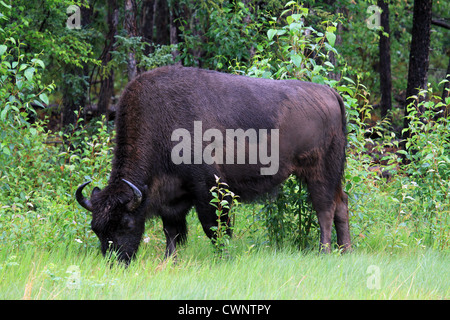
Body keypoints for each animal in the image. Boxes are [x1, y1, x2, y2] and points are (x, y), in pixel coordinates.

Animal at [76, 65, 352, 262]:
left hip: (320, 172)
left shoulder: (208, 189)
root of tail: (330, 93)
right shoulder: (171, 197)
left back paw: (324, 251)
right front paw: (169, 260)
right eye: (96, 228)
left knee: (325, 209)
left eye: (126, 223)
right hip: (331, 173)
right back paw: (345, 250)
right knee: (341, 203)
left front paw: (223, 257)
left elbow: (214, 228)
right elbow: (171, 231)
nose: (115, 262)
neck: (161, 123)